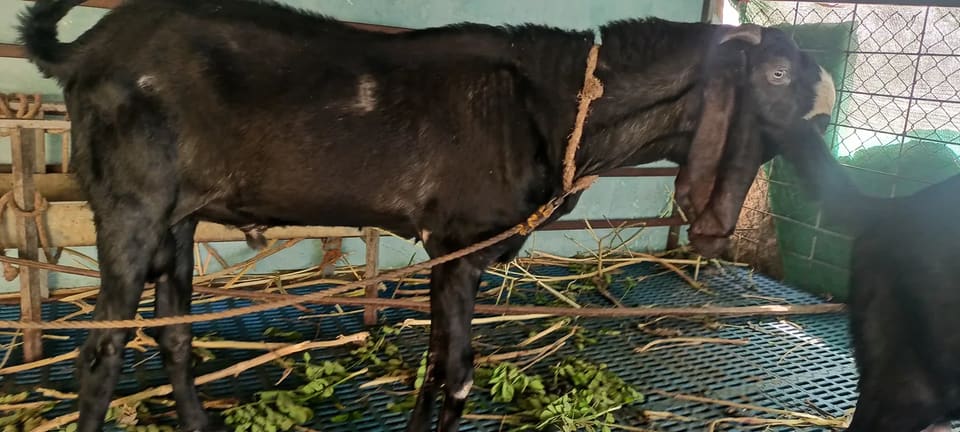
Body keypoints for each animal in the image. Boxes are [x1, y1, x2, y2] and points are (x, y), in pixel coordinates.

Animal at [18, 0, 839, 431]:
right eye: (776, 72)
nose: (830, 103)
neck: (553, 104)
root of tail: (85, 49)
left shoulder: (450, 257)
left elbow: (440, 362)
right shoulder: (460, 240)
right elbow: (459, 373)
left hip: (178, 217)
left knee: (174, 336)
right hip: (128, 203)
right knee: (100, 353)